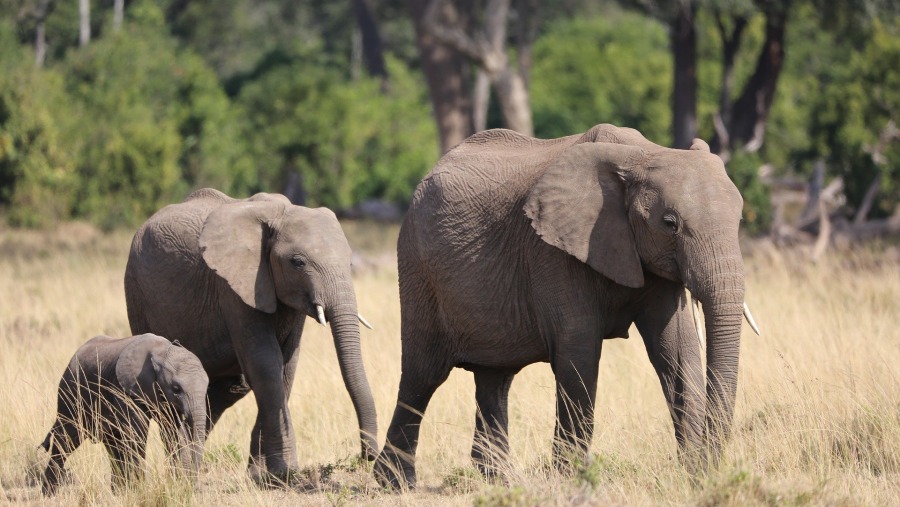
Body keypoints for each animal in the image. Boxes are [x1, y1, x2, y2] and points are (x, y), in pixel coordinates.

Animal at [39, 334, 208, 496]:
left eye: (207, 386)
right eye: (176, 389)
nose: (196, 488)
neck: (161, 352)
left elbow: (175, 434)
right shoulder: (125, 390)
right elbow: (136, 435)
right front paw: (141, 491)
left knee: (113, 445)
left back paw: (117, 493)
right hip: (70, 393)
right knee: (66, 439)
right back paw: (49, 494)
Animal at [125, 189, 376, 482]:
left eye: (350, 262)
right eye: (298, 263)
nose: (367, 455)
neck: (280, 213)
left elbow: (286, 366)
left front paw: (262, 475)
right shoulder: (233, 287)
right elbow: (265, 364)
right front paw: (284, 473)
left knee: (228, 388)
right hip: (136, 292)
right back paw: (179, 473)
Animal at [374, 123, 760, 488]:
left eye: (739, 220)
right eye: (670, 224)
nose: (710, 468)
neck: (639, 155)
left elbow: (677, 351)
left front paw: (694, 475)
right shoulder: (553, 251)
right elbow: (580, 353)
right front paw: (570, 478)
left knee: (494, 378)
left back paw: (499, 479)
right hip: (418, 266)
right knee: (423, 374)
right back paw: (395, 482)